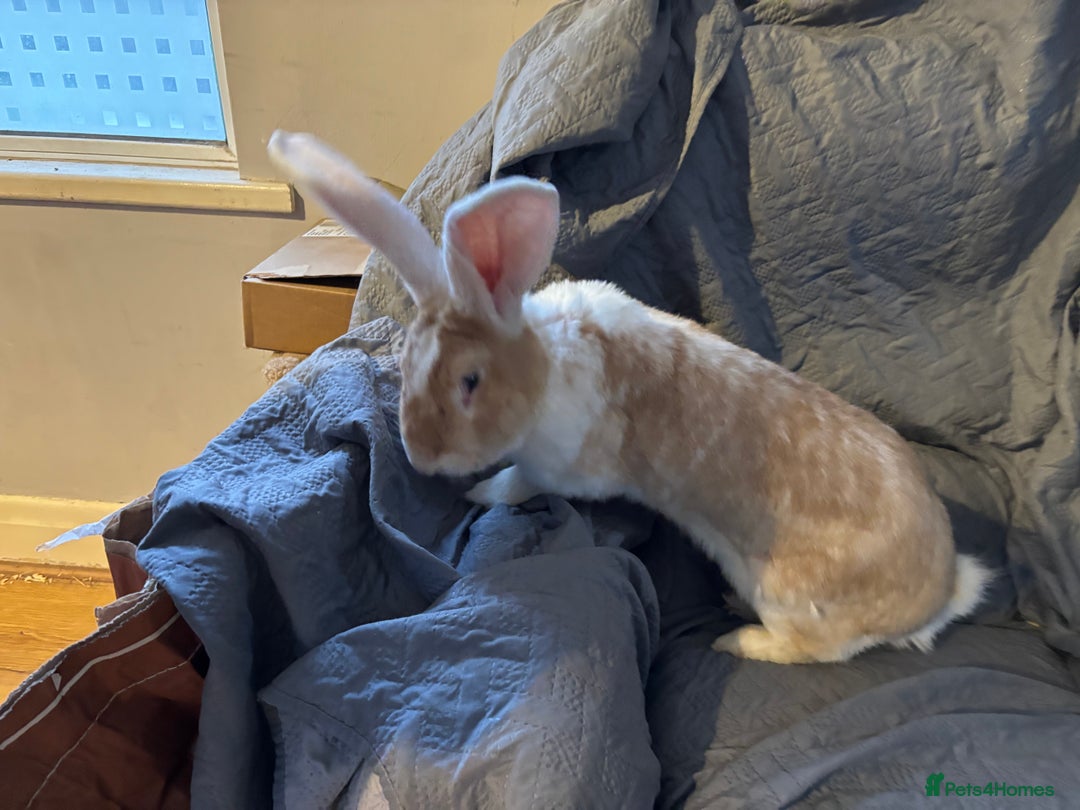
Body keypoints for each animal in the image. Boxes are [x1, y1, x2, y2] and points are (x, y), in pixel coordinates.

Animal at [267, 129, 992, 664]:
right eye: (407, 362)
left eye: (469, 381)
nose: (421, 457)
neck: (542, 365)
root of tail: (940, 594)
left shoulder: (555, 466)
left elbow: (518, 484)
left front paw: (479, 491)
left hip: (793, 596)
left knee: (816, 650)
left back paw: (737, 635)